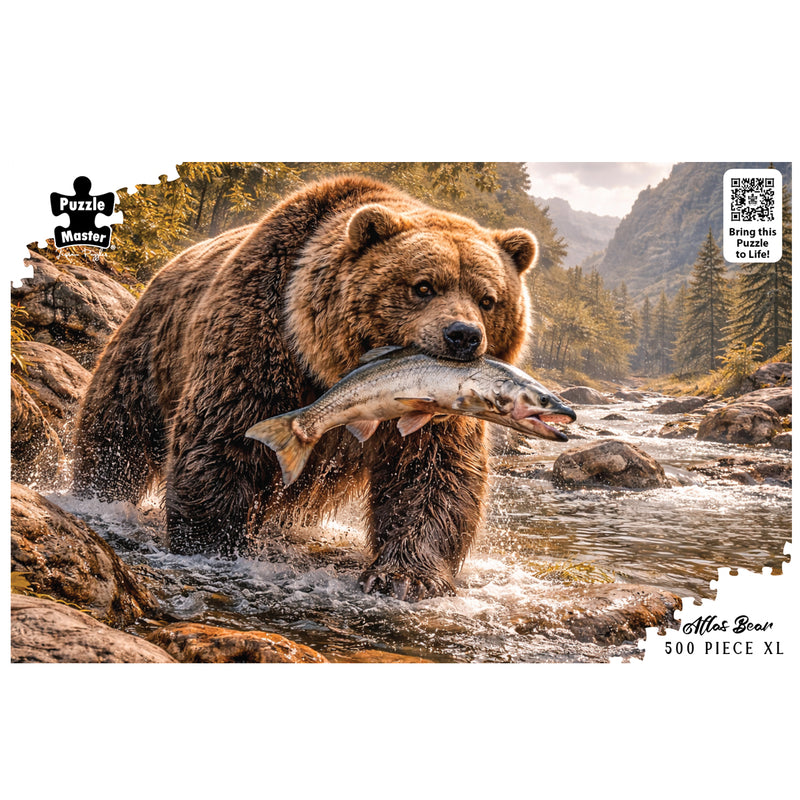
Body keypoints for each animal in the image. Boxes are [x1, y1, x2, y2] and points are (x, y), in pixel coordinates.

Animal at [73, 175, 537, 601]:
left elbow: (433, 473)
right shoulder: (264, 335)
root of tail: (166, 266)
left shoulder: (439, 408)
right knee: (118, 428)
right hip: (150, 348)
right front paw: (212, 543)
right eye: (423, 286)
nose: (463, 336)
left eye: (488, 298)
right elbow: (224, 437)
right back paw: (98, 491)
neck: (330, 366)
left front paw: (406, 576)